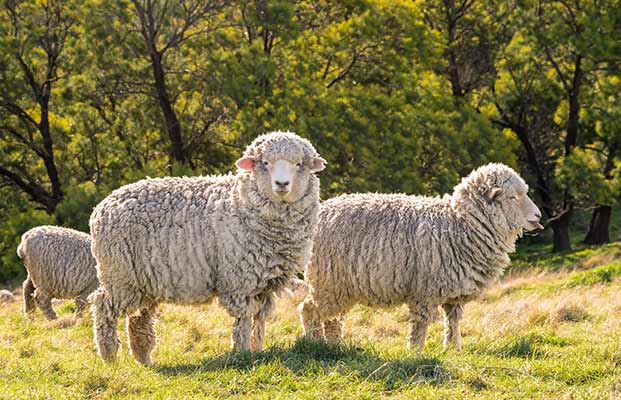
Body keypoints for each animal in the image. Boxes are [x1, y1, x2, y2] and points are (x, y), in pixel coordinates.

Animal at [89, 131, 326, 366]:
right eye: (265, 163)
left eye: (298, 164)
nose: (282, 184)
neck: (240, 202)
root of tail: (102, 206)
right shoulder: (240, 281)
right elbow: (244, 320)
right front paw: (242, 354)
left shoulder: (265, 285)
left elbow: (259, 321)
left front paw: (257, 351)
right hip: (120, 275)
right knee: (103, 307)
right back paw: (109, 357)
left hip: (144, 281)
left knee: (140, 317)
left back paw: (144, 359)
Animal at [300, 162, 544, 350]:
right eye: (513, 197)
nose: (538, 216)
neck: (461, 223)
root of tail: (322, 210)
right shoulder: (424, 290)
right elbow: (421, 324)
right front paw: (415, 351)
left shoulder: (454, 293)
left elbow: (453, 322)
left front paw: (452, 349)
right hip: (329, 282)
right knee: (309, 310)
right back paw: (315, 343)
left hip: (340, 286)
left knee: (331, 318)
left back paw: (334, 345)